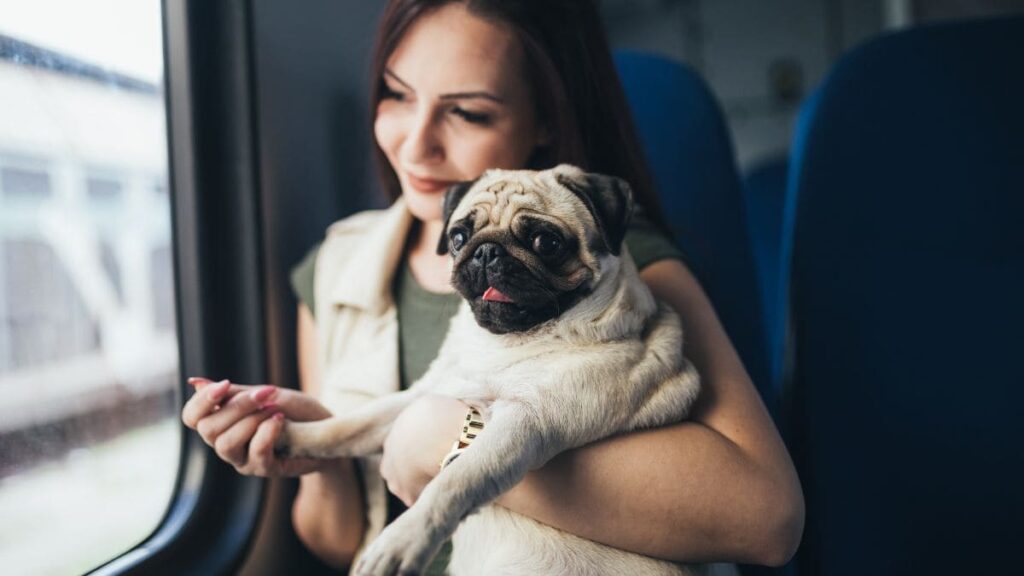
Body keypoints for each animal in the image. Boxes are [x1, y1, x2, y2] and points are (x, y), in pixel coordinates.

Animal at [276, 163, 700, 569]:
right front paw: (292, 435)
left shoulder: (526, 424)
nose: (486, 252)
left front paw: (402, 541)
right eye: (458, 238)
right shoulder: (427, 393)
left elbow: (456, 481)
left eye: (546, 242)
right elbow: (351, 425)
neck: (505, 344)